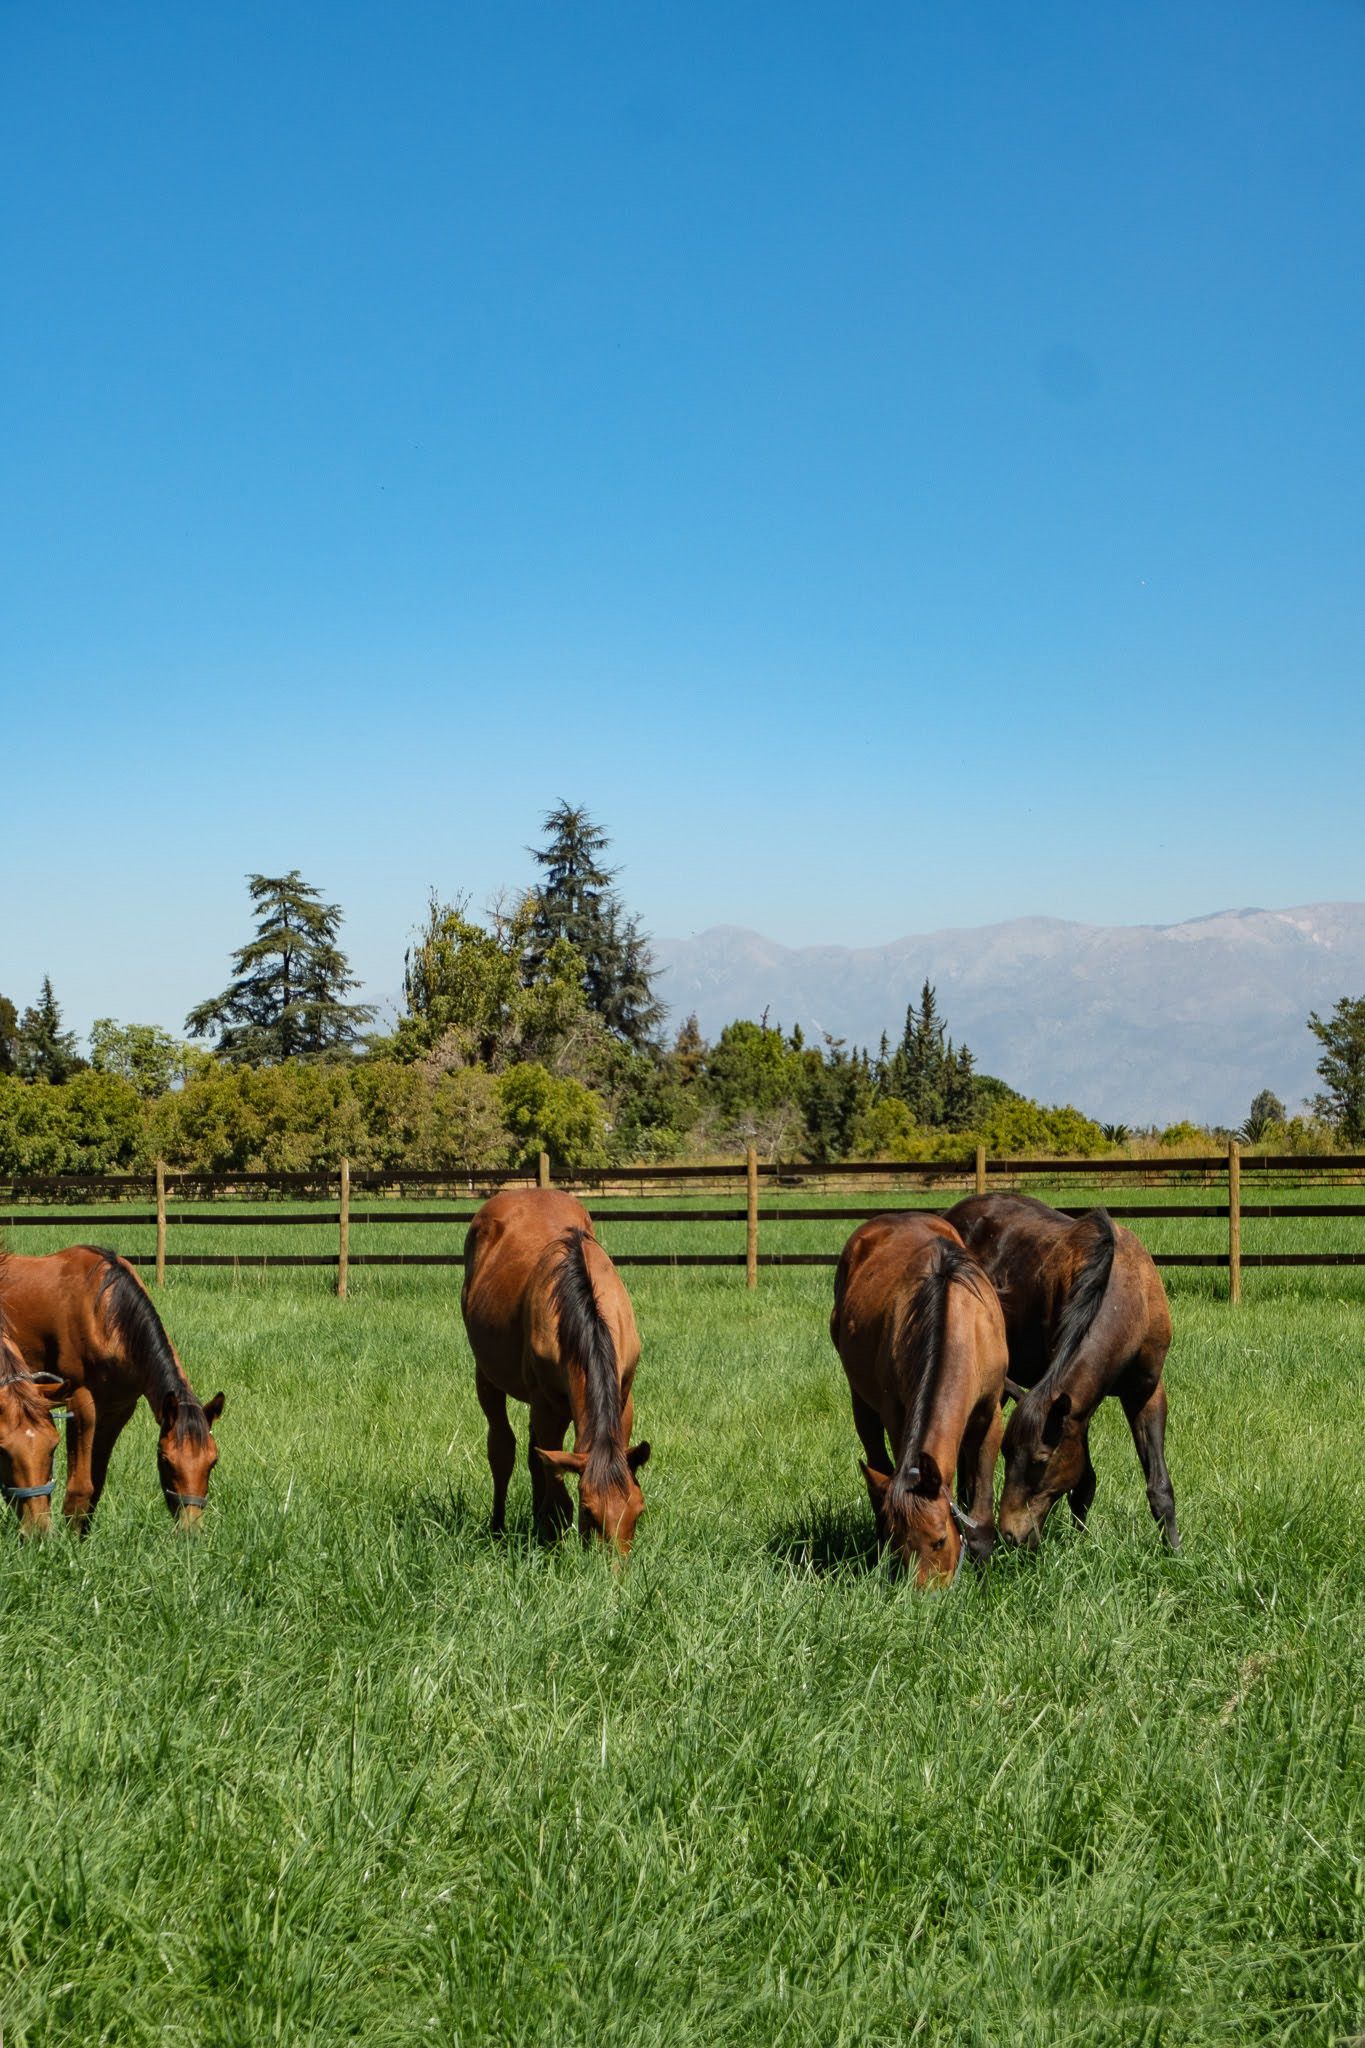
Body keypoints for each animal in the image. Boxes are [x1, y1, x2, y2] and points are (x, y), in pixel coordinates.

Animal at [0, 1246, 225, 1529]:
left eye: (213, 1461)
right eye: (166, 1459)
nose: (190, 1529)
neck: (104, 1311)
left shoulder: (117, 1411)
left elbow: (96, 1487)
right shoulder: (81, 1403)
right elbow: (80, 1489)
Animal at [461, 1189, 650, 1554]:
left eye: (638, 1508)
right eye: (589, 1512)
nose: (613, 1567)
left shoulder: (624, 1395)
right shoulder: (548, 1406)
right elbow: (557, 1492)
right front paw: (551, 1542)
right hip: (486, 1378)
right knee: (502, 1449)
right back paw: (498, 1528)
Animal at [830, 1211, 1008, 1585]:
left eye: (939, 1540)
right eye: (901, 1543)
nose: (925, 1595)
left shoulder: (990, 1417)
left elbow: (981, 1510)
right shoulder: (897, 1416)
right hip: (861, 1403)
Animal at [943, 1194, 1178, 1550]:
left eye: (1040, 1461)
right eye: (1007, 1453)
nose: (1011, 1535)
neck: (1129, 1297)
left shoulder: (1144, 1392)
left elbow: (1158, 1485)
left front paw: (1175, 1552)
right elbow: (1084, 1483)